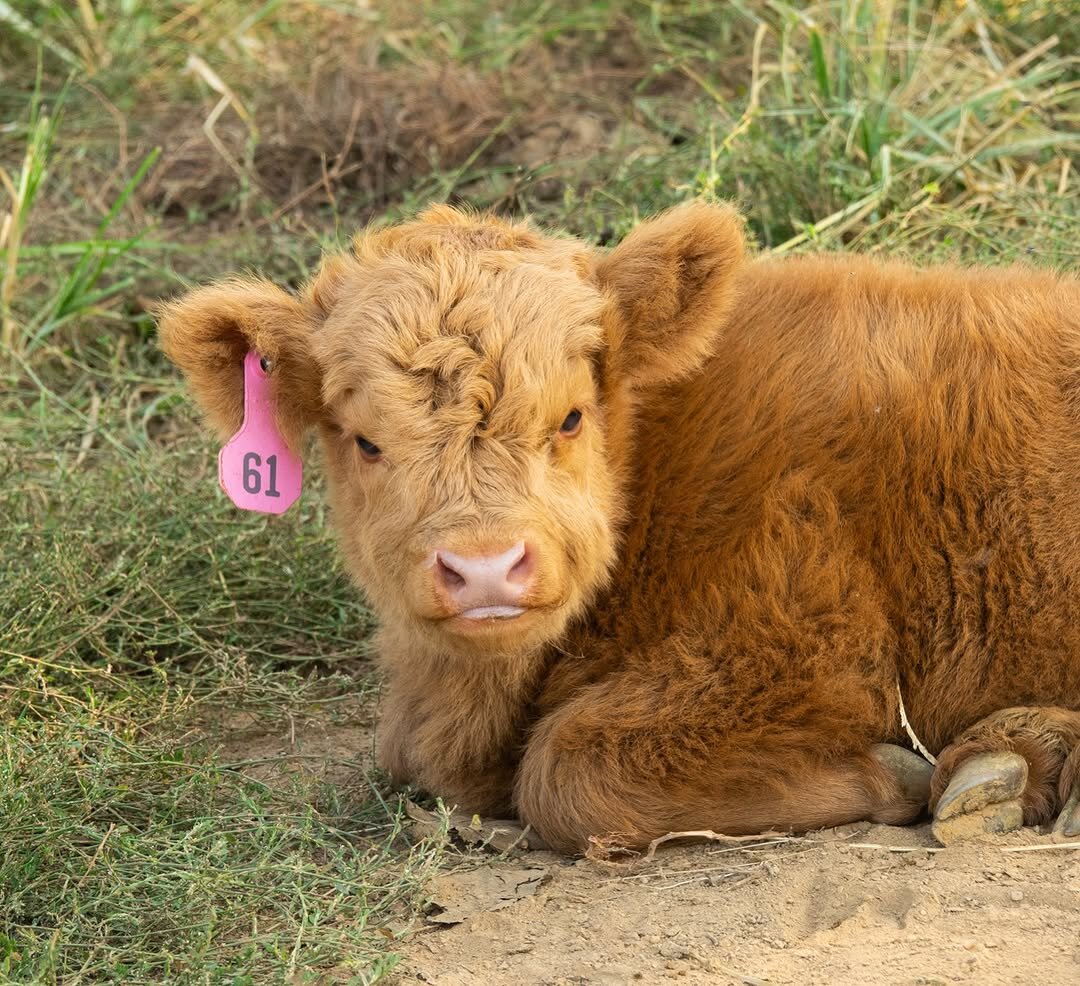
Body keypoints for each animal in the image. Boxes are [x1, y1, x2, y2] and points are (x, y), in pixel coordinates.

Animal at [158, 202, 1080, 853]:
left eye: (570, 417)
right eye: (366, 441)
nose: (485, 567)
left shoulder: (788, 649)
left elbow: (568, 771)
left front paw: (891, 773)